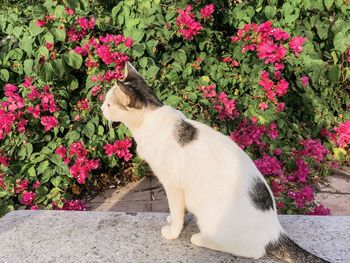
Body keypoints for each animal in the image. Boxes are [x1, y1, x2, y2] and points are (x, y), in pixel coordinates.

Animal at [100, 62, 328, 263]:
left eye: (109, 104)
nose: (101, 108)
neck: (150, 118)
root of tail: (274, 231)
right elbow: (177, 211)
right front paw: (173, 220)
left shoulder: (172, 185)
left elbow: (176, 209)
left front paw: (173, 231)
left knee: (251, 251)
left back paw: (200, 238)